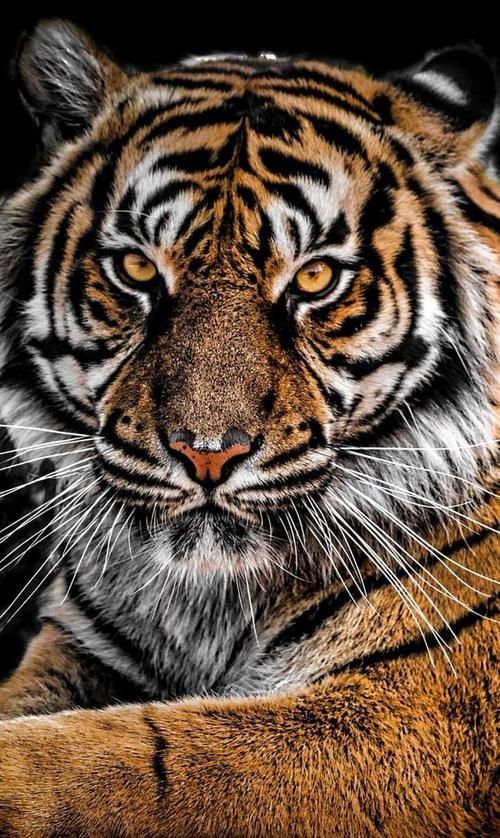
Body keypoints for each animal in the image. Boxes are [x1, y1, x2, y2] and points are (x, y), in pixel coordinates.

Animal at [0, 17, 498, 836]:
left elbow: (131, 762)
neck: (207, 606)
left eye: (316, 277)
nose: (206, 455)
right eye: (137, 270)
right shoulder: (80, 648)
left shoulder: (415, 712)